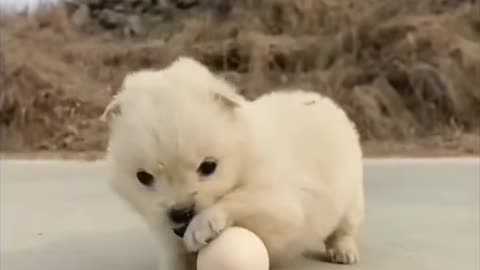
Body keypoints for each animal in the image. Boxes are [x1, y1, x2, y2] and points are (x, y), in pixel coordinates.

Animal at [100, 56, 364, 268]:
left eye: (209, 167)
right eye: (143, 177)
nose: (181, 212)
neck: (245, 152)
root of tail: (321, 99)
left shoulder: (282, 205)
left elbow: (240, 199)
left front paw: (202, 226)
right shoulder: (164, 229)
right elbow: (174, 254)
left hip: (351, 196)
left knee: (345, 227)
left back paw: (344, 251)